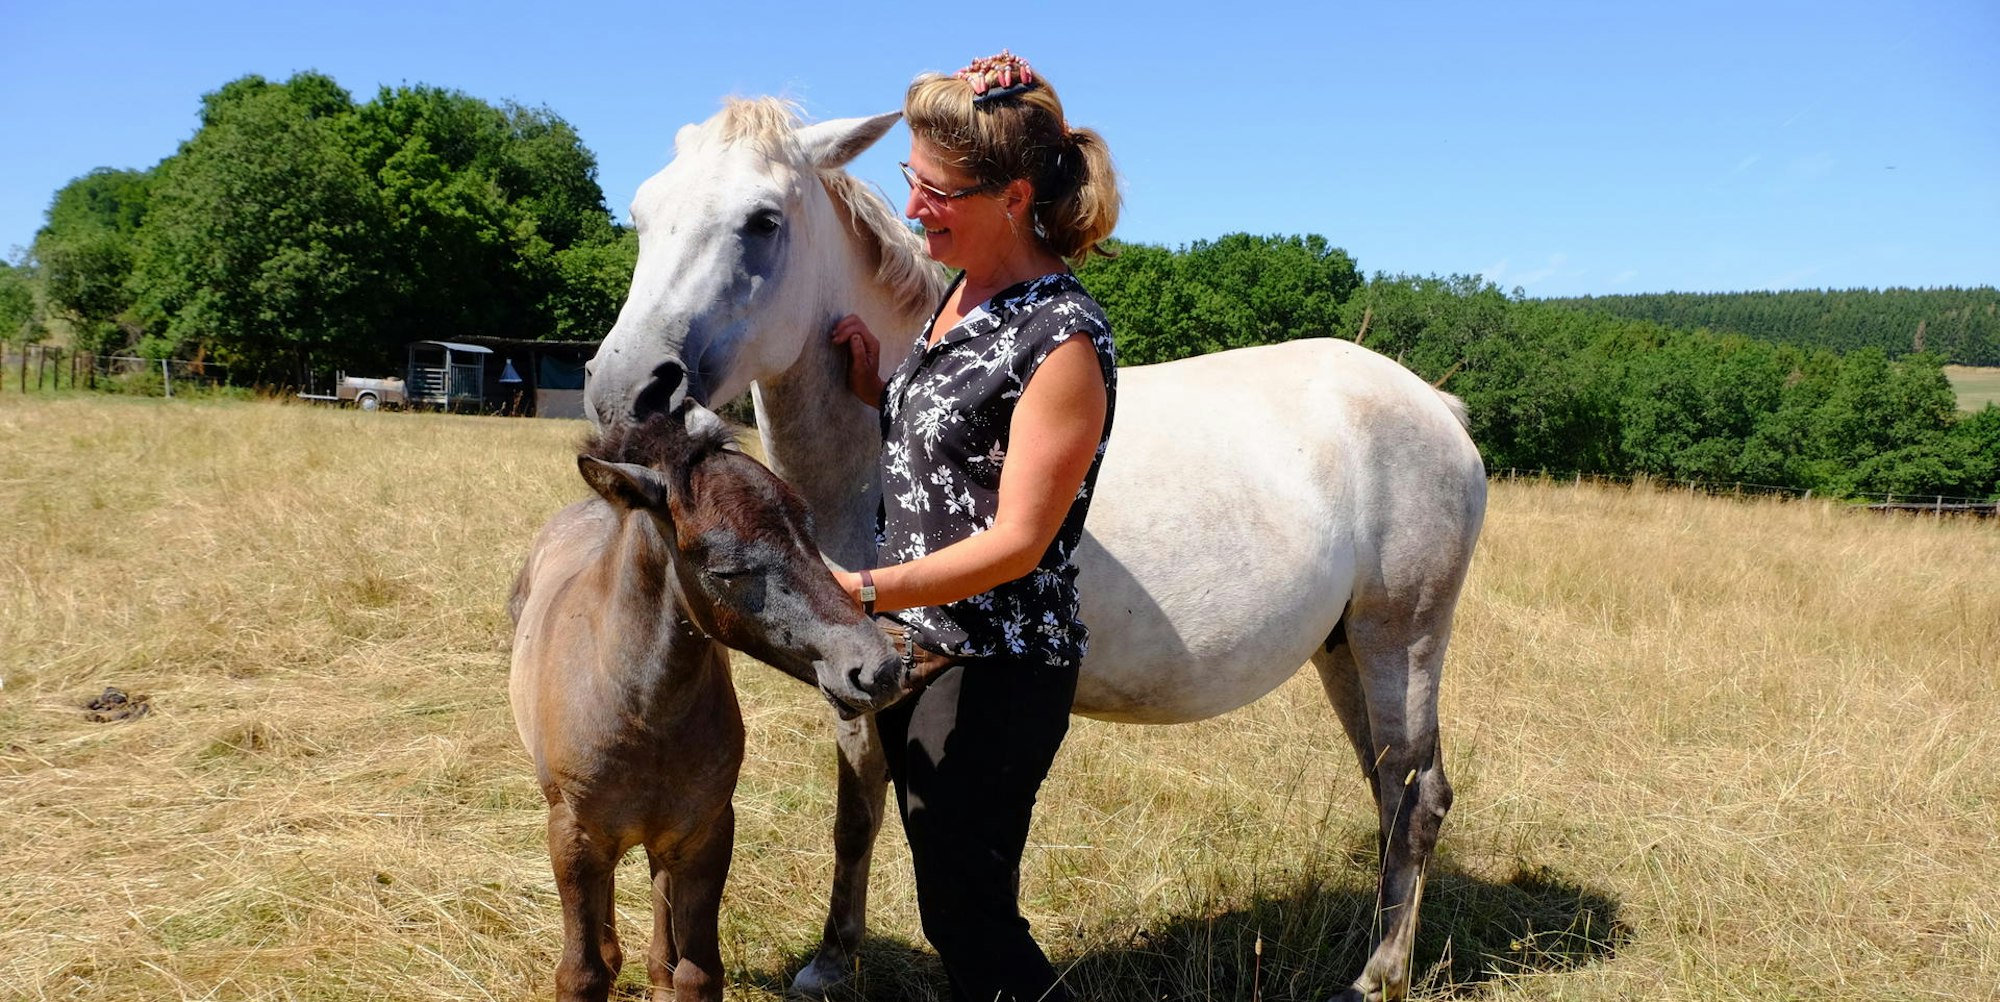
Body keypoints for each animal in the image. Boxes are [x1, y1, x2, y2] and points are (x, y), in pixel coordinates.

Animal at [507, 395, 911, 1002]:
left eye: (811, 534)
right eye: (726, 569)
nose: (879, 668)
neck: (645, 713)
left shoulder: (708, 833)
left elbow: (698, 972)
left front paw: (670, 974)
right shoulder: (573, 837)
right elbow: (581, 974)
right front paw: (602, 962)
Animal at [582, 99, 1488, 1002]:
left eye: (762, 221)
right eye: (642, 213)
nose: (627, 391)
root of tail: (1432, 403)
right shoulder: (857, 686)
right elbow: (856, 814)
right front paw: (832, 962)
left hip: (1400, 641)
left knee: (1416, 798)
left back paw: (1378, 975)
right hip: (1345, 650)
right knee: (1391, 789)